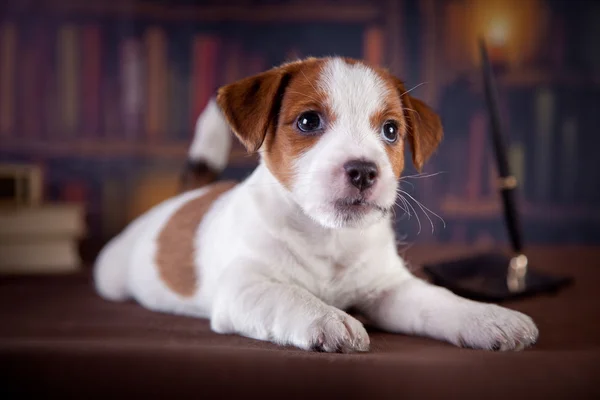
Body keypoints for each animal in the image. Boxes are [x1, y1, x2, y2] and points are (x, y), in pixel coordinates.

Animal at [95, 57, 540, 354]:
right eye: (308, 121)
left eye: (390, 130)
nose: (363, 171)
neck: (328, 235)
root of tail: (180, 198)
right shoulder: (245, 287)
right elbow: (288, 296)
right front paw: (327, 317)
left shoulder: (388, 288)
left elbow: (439, 301)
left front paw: (487, 316)